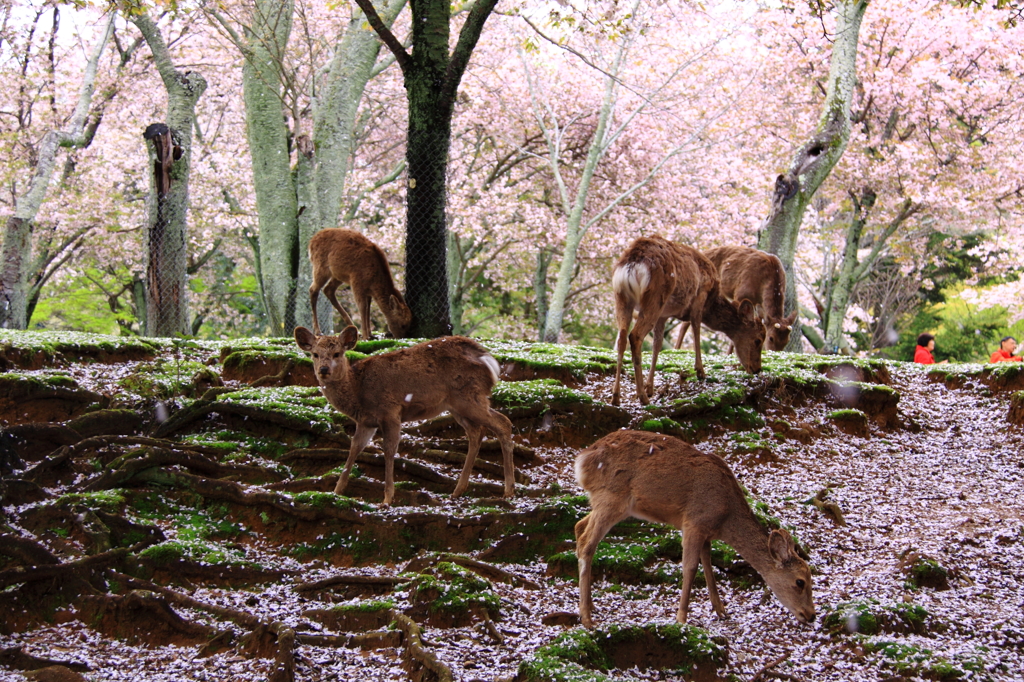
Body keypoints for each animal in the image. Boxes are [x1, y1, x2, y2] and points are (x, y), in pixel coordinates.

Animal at [296, 323, 520, 503]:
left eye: (337, 354)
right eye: (315, 354)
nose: (324, 369)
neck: (357, 390)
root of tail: (488, 359)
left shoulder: (390, 411)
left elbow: (388, 450)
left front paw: (387, 498)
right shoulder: (367, 421)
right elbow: (354, 448)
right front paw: (337, 491)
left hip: (468, 396)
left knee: (503, 422)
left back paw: (508, 490)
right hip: (457, 405)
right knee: (477, 432)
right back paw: (458, 490)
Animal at [573, 430, 811, 626]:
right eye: (800, 581)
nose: (811, 615)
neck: (725, 517)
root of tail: (583, 459)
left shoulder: (707, 531)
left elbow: (708, 564)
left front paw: (720, 610)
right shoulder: (694, 522)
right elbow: (690, 568)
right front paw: (681, 619)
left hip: (605, 501)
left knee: (579, 526)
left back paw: (590, 605)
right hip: (611, 497)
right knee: (587, 543)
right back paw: (586, 617)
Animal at [606, 233, 761, 403]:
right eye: (758, 340)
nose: (757, 369)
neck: (711, 303)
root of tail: (632, 263)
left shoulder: (663, 315)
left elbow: (657, 345)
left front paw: (650, 387)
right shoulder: (701, 295)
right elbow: (696, 328)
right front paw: (700, 371)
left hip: (622, 297)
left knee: (621, 338)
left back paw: (616, 397)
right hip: (655, 296)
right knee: (635, 336)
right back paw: (642, 397)